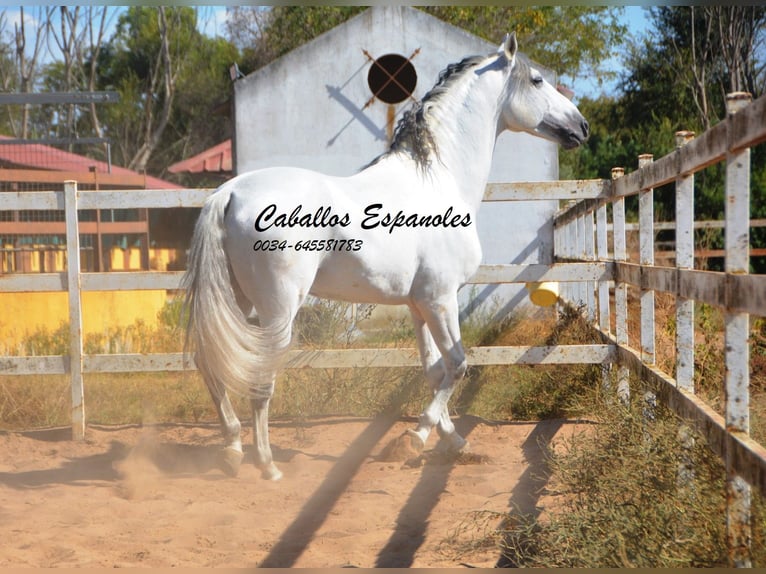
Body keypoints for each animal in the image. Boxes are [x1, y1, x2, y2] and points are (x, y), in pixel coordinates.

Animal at [183, 33, 589, 480]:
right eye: (537, 80)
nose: (581, 127)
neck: (439, 178)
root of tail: (229, 192)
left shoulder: (418, 303)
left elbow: (433, 369)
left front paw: (454, 442)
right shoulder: (440, 299)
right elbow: (458, 364)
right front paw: (415, 438)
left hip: (237, 299)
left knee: (210, 360)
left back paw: (233, 449)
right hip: (277, 308)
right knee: (258, 373)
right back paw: (267, 465)